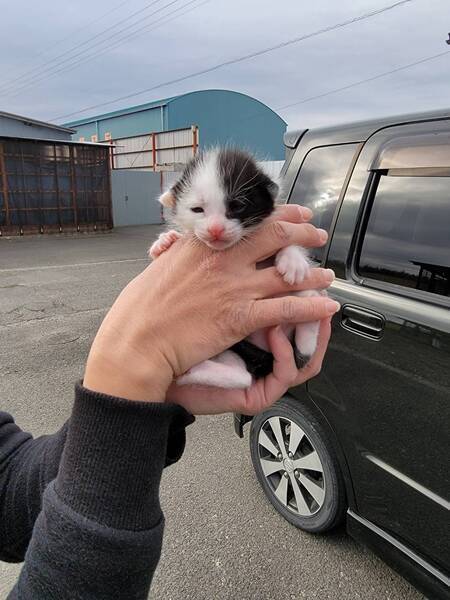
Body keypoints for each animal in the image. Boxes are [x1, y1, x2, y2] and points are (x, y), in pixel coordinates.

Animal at [149, 148, 321, 389]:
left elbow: (288, 240)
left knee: (299, 354)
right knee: (243, 376)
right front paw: (165, 241)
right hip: (231, 348)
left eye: (237, 206)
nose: (215, 230)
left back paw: (311, 305)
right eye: (197, 209)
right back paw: (192, 371)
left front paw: (293, 260)